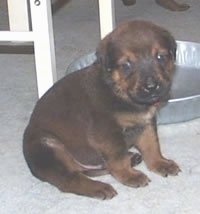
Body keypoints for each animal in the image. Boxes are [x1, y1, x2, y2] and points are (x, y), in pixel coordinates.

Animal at [22, 20, 180, 199]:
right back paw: (99, 188)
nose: (151, 87)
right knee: (70, 180)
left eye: (161, 57)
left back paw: (131, 159)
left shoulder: (146, 124)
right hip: (49, 147)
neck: (119, 92)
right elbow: (118, 158)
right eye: (126, 65)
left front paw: (160, 163)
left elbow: (152, 146)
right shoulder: (107, 133)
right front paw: (129, 176)